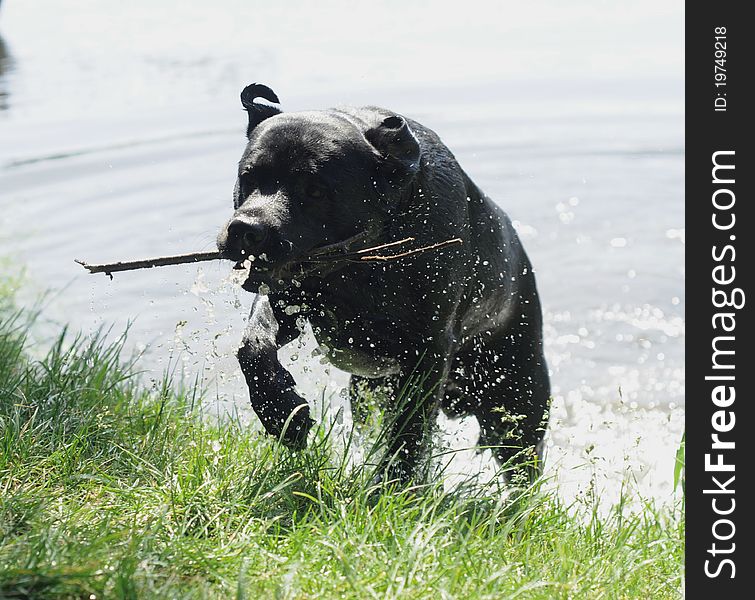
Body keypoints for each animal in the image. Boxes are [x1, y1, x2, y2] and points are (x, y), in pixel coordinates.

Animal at [216, 83, 552, 482]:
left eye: (315, 190)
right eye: (249, 177)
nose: (245, 229)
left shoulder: (428, 353)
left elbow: (409, 432)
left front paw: (392, 485)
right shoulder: (287, 300)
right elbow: (253, 346)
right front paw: (282, 412)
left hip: (516, 407)